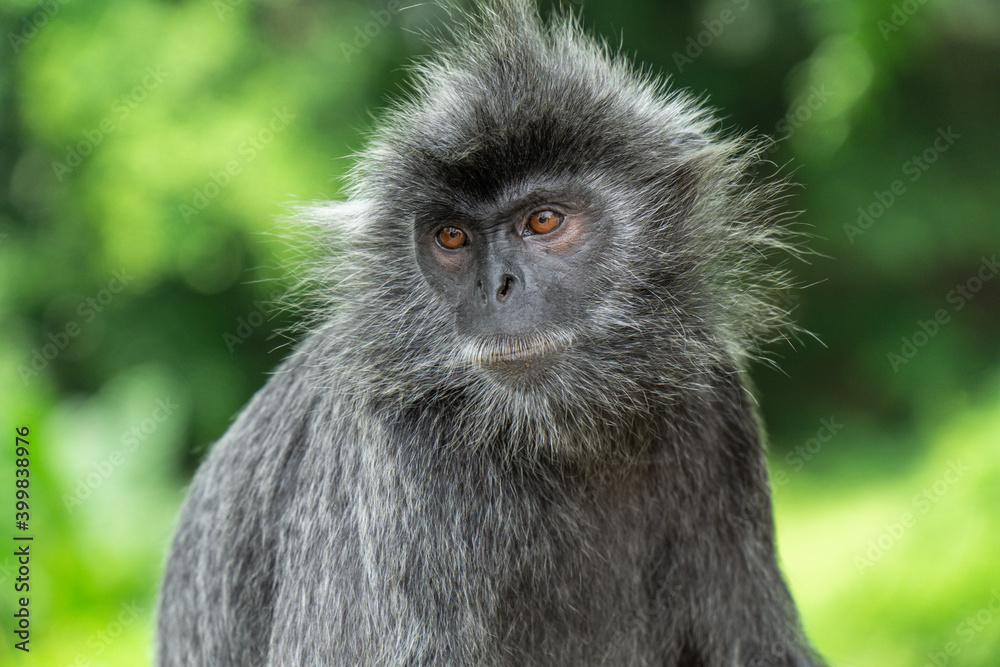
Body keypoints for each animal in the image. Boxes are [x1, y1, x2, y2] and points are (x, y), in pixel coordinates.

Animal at [156, 0, 824, 664]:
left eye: (543, 221)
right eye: (453, 237)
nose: (497, 287)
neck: (559, 437)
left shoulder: (714, 396)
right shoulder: (395, 458)